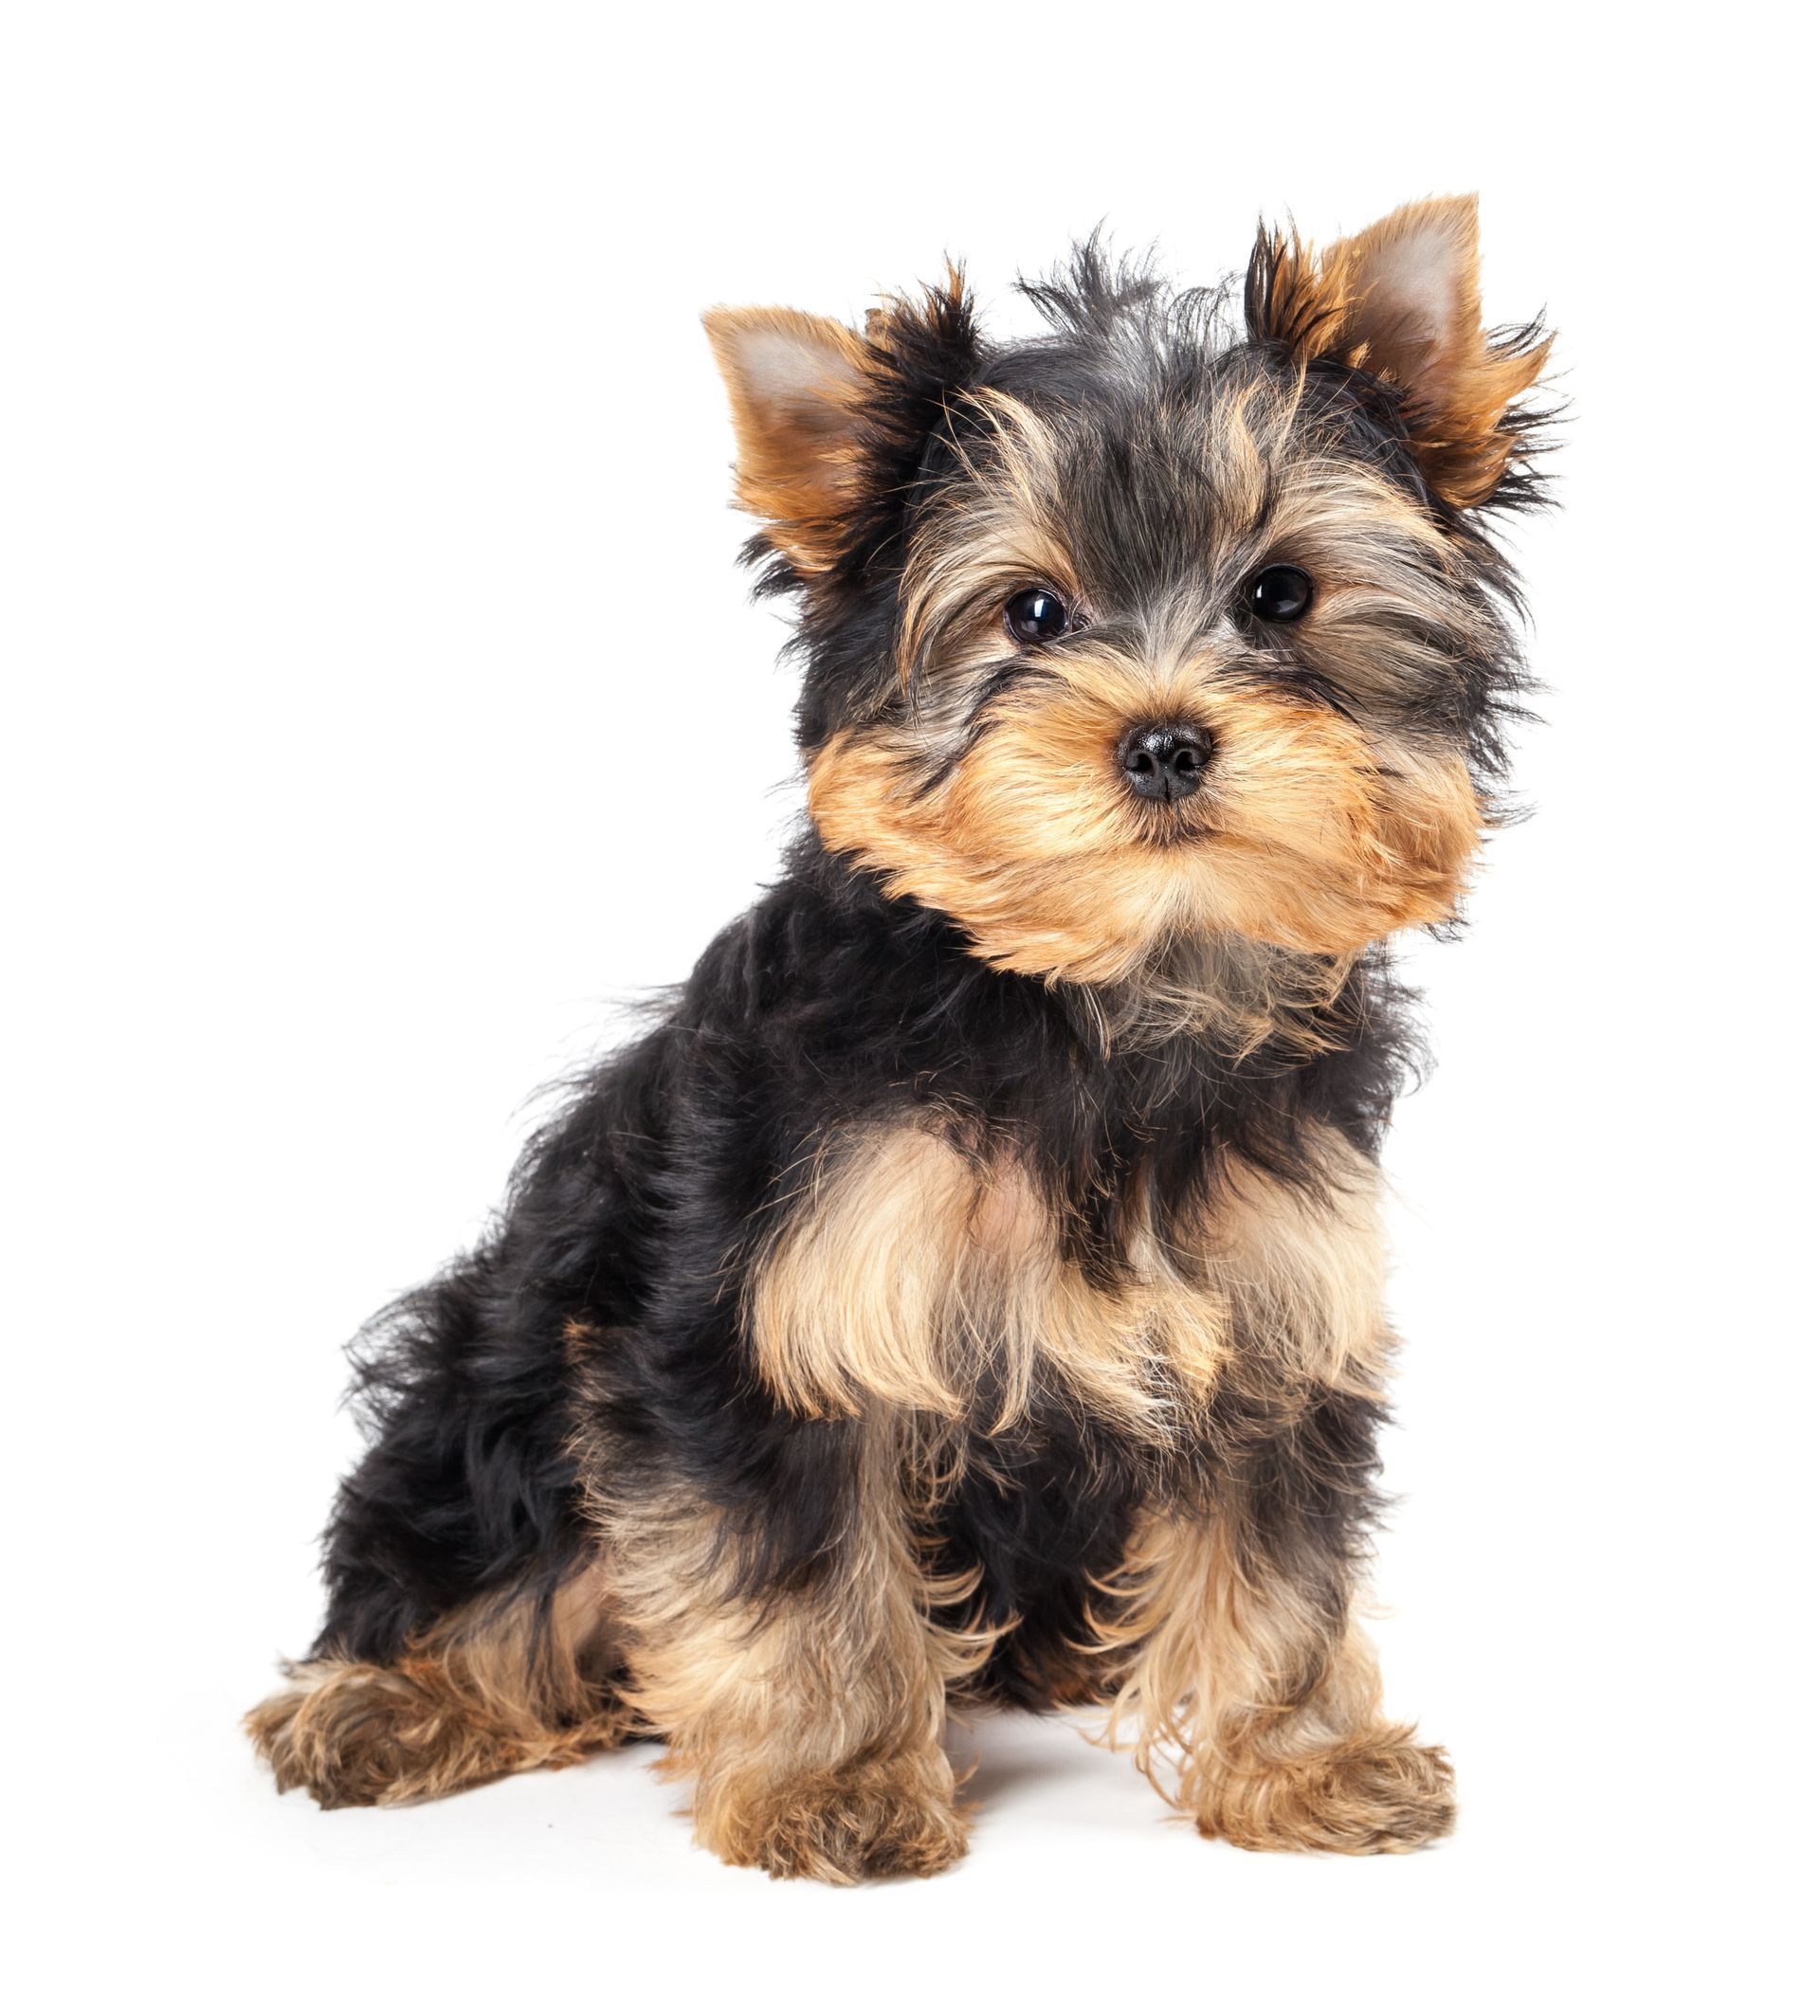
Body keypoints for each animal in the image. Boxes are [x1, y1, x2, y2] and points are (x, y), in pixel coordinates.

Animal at [248, 196, 1556, 1879]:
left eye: (1280, 594)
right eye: (1032, 611)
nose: (1162, 738)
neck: (1093, 992)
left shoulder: (1274, 1303)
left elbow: (1272, 1542)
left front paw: (1295, 1757)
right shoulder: (765, 1306)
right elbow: (801, 1557)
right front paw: (831, 1781)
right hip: (514, 1362)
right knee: (487, 1532)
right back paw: (390, 1701)